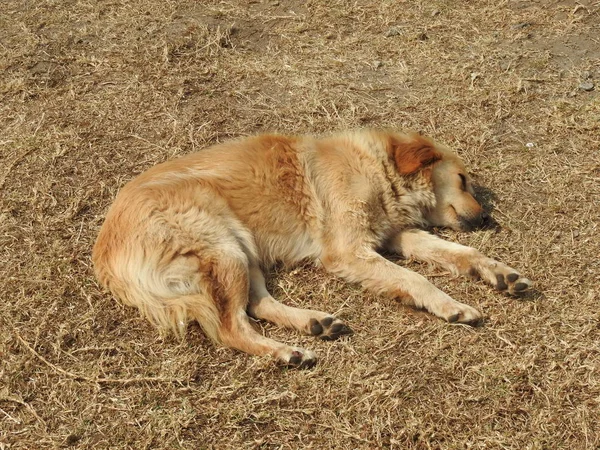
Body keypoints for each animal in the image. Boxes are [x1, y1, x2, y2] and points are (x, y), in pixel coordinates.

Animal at [91, 128, 532, 368]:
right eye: (462, 179)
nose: (486, 219)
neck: (376, 168)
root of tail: (105, 258)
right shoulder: (349, 251)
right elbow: (415, 278)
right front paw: (451, 306)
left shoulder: (394, 234)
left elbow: (458, 254)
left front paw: (501, 274)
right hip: (223, 248)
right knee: (231, 326)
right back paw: (287, 352)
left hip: (244, 251)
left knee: (256, 305)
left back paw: (315, 323)